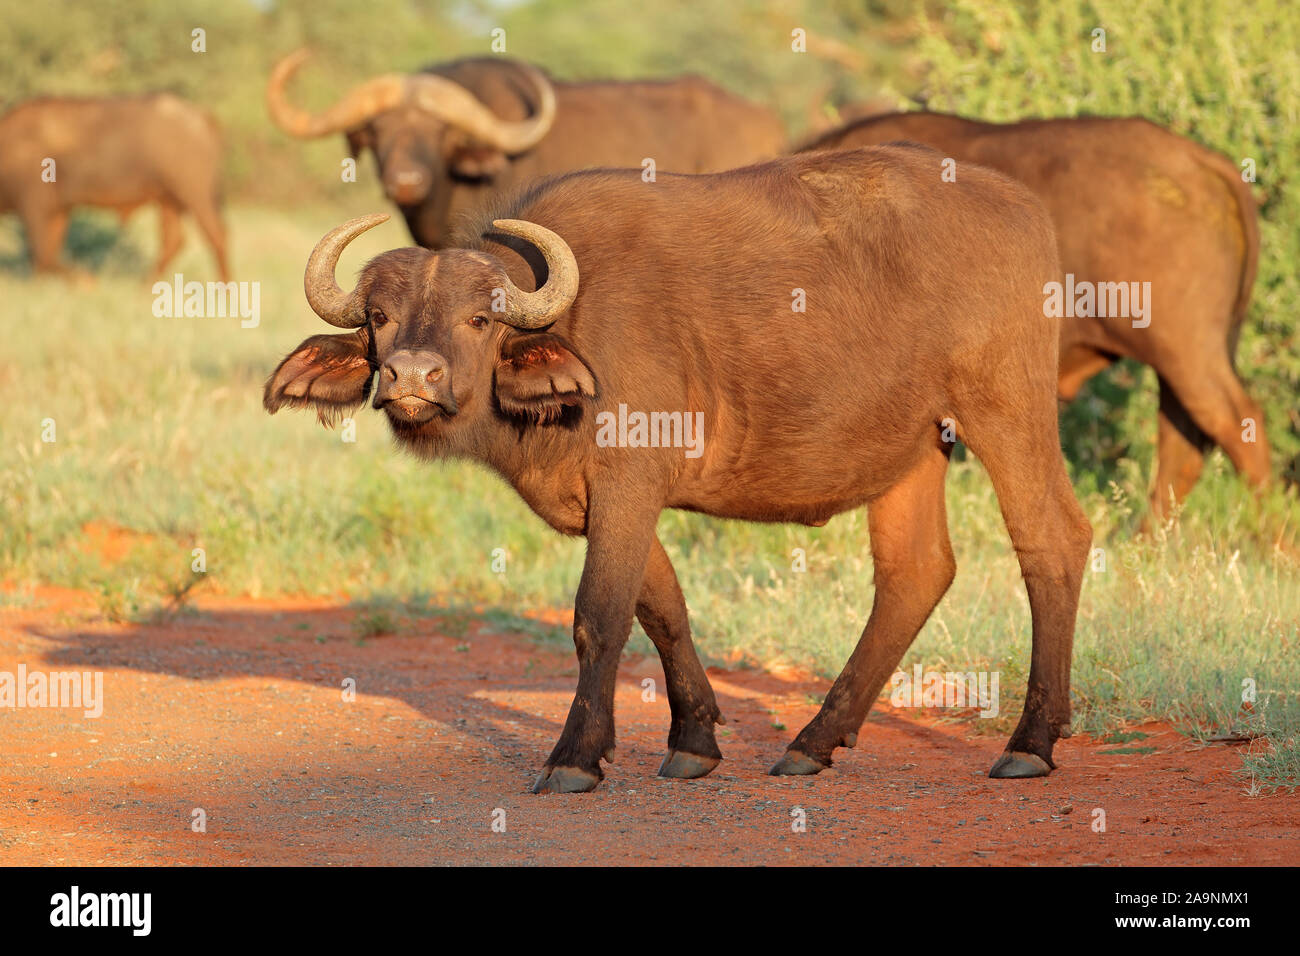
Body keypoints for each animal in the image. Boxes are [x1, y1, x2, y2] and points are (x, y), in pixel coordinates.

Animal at [0, 93, 229, 280]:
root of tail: (202, 117)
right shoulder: (59, 211)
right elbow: (46, 256)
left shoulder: (35, 208)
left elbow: (43, 255)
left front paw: (86, 282)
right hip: (168, 200)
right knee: (174, 241)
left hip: (197, 196)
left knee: (217, 234)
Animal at [264, 146, 1091, 792]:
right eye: (379, 317)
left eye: (481, 318)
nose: (410, 376)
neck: (576, 323)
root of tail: (1025, 208)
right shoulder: (609, 500)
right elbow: (662, 609)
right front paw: (694, 741)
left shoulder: (628, 484)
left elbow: (598, 617)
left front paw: (575, 757)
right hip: (914, 451)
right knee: (915, 573)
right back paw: (813, 742)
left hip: (1005, 409)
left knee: (1052, 541)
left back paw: (1029, 743)